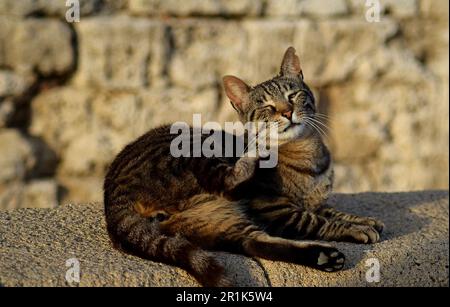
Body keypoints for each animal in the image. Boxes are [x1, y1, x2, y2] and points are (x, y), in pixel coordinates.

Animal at [103, 47, 384, 288]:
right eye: (267, 107)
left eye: (293, 95)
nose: (287, 112)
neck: (307, 154)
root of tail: (112, 193)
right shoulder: (275, 208)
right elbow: (319, 221)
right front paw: (356, 228)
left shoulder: (314, 202)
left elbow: (333, 212)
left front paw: (364, 220)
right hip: (195, 145)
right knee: (227, 183)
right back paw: (251, 157)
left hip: (216, 222)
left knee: (253, 243)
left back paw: (323, 257)